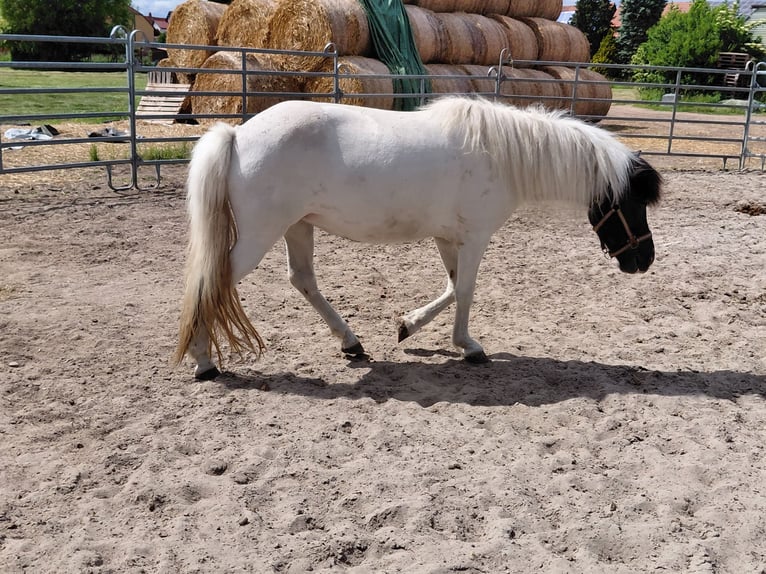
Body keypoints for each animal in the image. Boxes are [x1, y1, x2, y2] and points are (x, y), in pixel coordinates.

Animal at [174, 96, 662, 380]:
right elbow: (466, 291)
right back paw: (204, 362)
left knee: (302, 280)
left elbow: (451, 287)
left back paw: (352, 343)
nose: (644, 261)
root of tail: (237, 133)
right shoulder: (474, 238)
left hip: (298, 226)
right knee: (213, 282)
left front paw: (408, 326)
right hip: (263, 233)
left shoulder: (449, 239)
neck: (501, 154)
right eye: (633, 204)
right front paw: (469, 348)